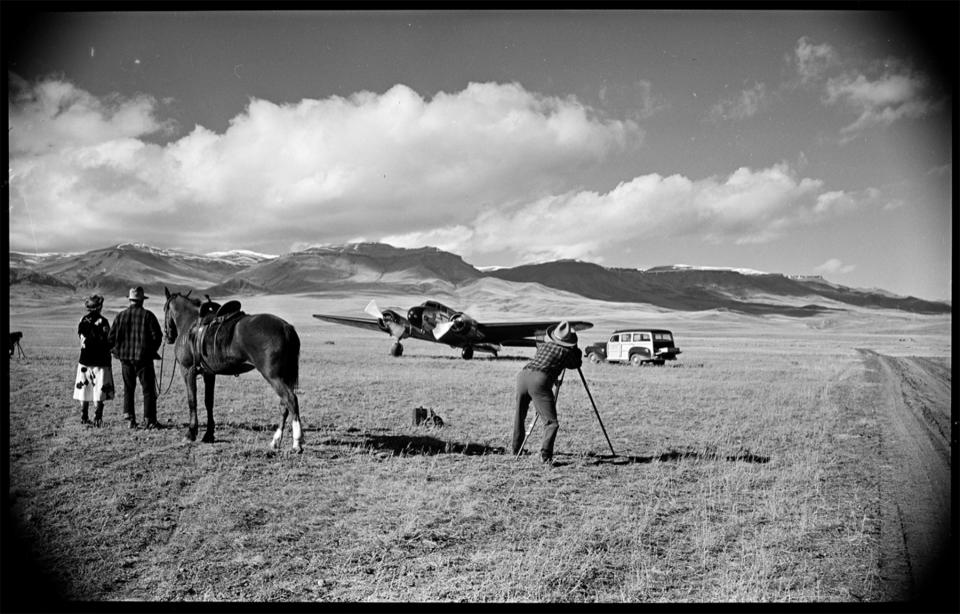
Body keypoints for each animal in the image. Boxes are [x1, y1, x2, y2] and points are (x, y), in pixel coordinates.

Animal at [161, 288, 304, 452]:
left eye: (164, 309)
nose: (168, 336)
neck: (189, 324)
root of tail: (286, 327)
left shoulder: (187, 370)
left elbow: (192, 400)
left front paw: (191, 433)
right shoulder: (209, 373)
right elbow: (208, 402)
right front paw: (209, 435)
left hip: (273, 376)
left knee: (291, 400)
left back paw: (297, 443)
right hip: (284, 376)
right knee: (284, 405)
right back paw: (276, 441)